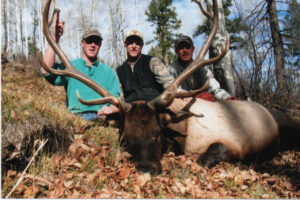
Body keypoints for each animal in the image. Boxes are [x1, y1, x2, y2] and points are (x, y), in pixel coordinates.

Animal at [38, 0, 298, 174]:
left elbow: (208, 157)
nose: (147, 168)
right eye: (127, 136)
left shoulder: (235, 142)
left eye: (157, 134)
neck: (182, 131)